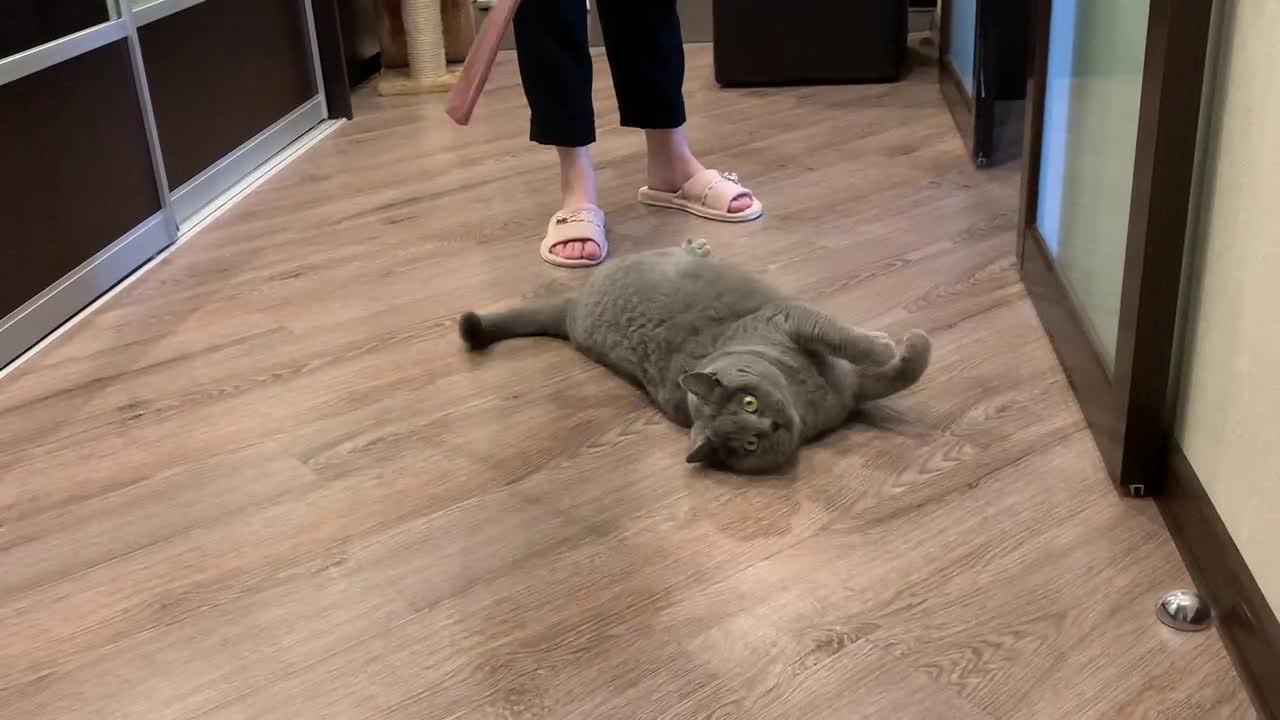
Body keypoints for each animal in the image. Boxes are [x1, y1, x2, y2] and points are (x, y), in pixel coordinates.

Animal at [460, 237, 931, 471]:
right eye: (749, 443)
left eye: (749, 401)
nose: (772, 423)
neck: (807, 399)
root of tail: (572, 308)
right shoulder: (848, 390)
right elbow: (896, 371)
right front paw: (910, 343)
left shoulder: (788, 319)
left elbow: (849, 340)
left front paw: (897, 343)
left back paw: (698, 246)